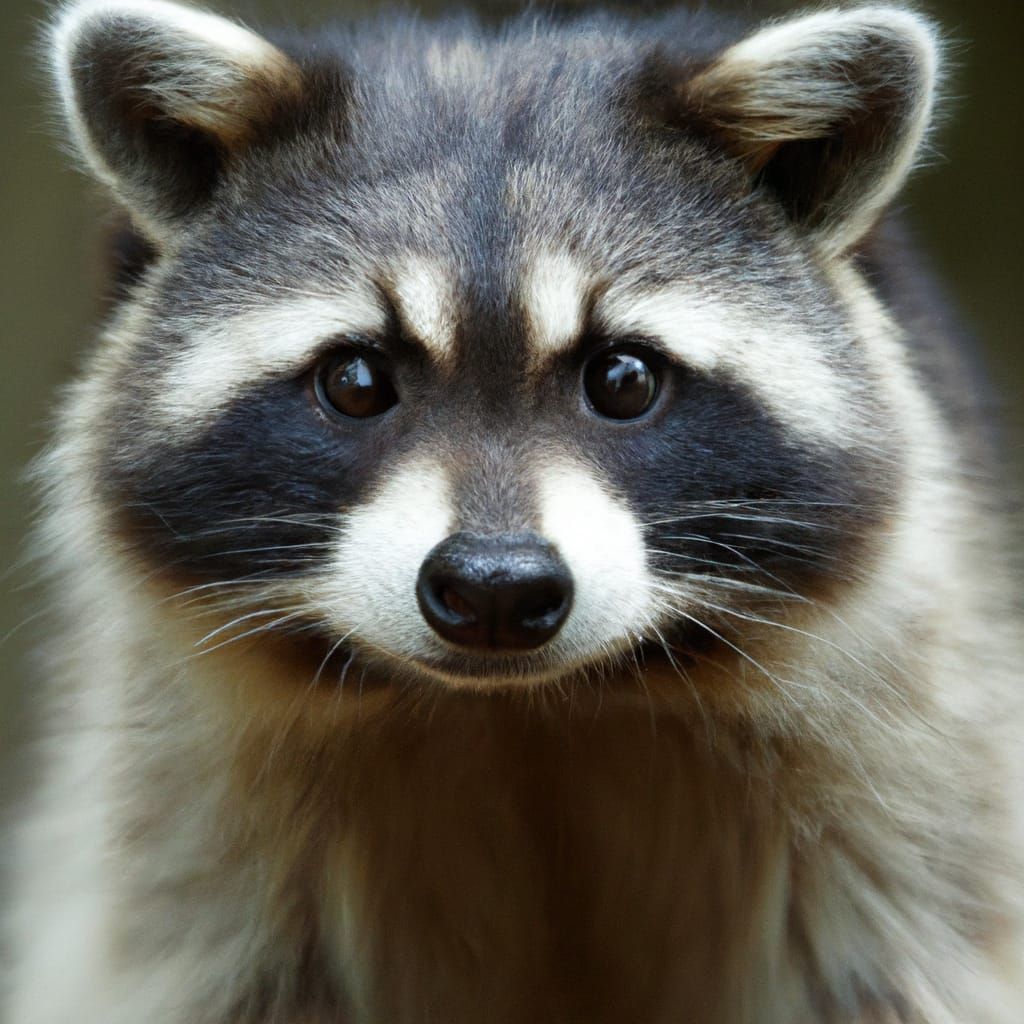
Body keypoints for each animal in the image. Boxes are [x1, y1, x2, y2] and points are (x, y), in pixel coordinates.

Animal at [4, 0, 1022, 1021]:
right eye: (356, 381)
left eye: (623, 379)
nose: (494, 589)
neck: (528, 711)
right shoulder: (188, 840)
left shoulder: (915, 784)